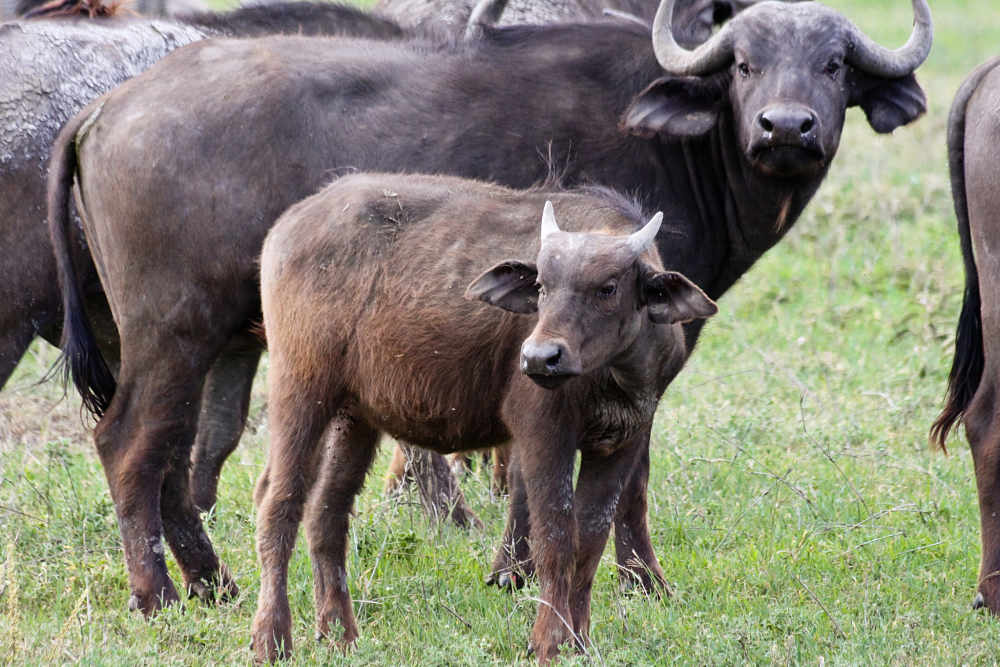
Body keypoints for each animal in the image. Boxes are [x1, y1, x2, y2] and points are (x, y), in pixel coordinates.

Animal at [254, 174, 716, 664]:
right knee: (278, 504)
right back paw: (271, 639)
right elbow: (555, 536)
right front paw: (550, 641)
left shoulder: (622, 440)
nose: (539, 358)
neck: (612, 376)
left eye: (608, 288)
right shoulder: (542, 433)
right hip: (299, 390)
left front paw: (580, 640)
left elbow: (590, 541)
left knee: (327, 513)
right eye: (542, 287)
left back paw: (339, 633)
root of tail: (287, 226)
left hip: (354, 416)